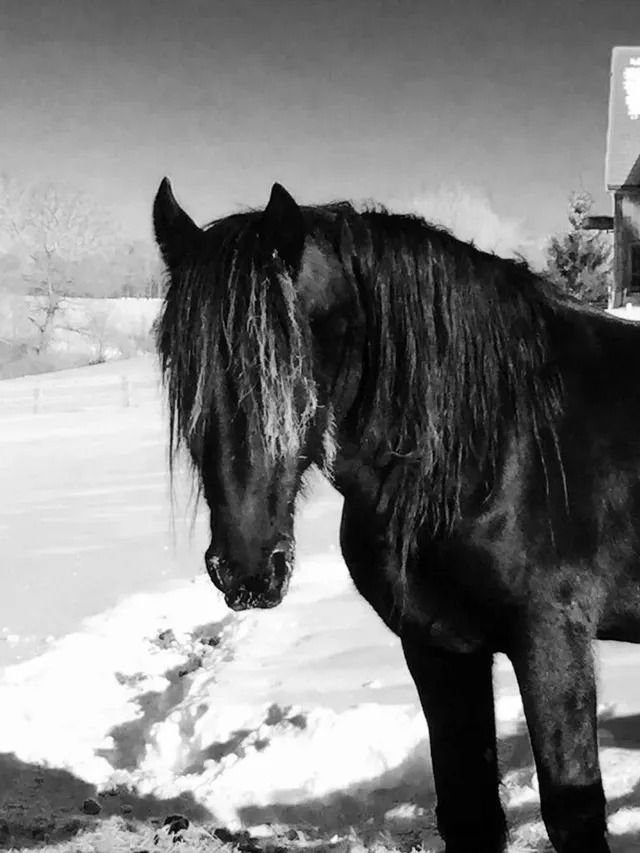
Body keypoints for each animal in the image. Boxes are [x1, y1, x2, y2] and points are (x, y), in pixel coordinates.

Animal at [153, 177, 640, 853]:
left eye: (296, 354)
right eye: (183, 365)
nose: (247, 571)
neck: (495, 444)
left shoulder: (552, 640)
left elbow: (575, 812)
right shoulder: (438, 647)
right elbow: (467, 812)